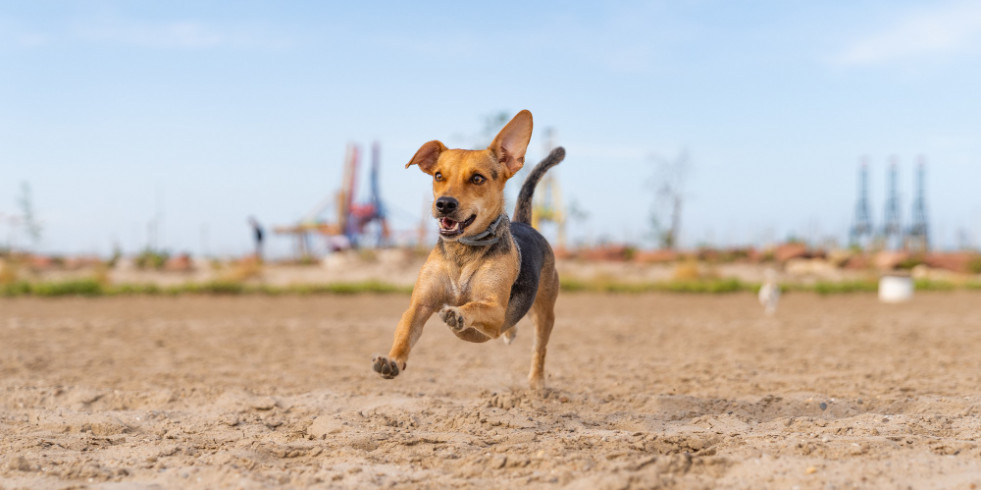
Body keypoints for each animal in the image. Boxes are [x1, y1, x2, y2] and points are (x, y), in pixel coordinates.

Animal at [370, 109, 568, 388]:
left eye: (477, 178)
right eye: (438, 176)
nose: (444, 204)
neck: (464, 250)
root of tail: (525, 224)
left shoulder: (495, 310)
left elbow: (475, 306)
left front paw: (458, 314)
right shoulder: (420, 305)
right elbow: (405, 332)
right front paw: (392, 360)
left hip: (545, 313)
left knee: (539, 349)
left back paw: (537, 383)